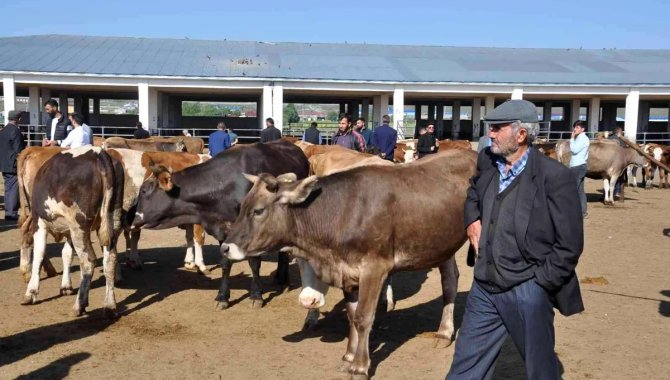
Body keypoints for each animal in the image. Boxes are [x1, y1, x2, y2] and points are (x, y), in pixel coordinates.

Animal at [220, 150, 478, 378]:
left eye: (258, 211)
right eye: (241, 208)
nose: (225, 247)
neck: (342, 211)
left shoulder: (375, 268)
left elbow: (364, 317)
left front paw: (360, 367)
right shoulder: (348, 270)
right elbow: (352, 315)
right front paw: (348, 357)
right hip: (442, 243)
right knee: (450, 281)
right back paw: (444, 333)